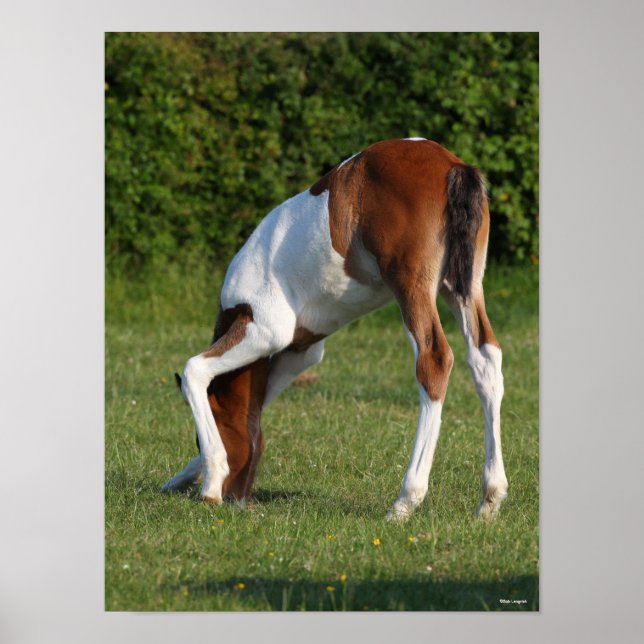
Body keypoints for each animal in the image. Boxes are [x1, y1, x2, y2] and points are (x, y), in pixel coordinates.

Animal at [162, 138, 508, 521]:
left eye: (198, 437)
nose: (237, 498)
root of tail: (451, 165)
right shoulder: (300, 350)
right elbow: (259, 404)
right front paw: (183, 478)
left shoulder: (265, 331)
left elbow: (195, 370)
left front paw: (210, 484)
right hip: (461, 287)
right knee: (485, 360)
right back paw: (490, 498)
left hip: (411, 286)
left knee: (434, 360)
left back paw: (406, 500)